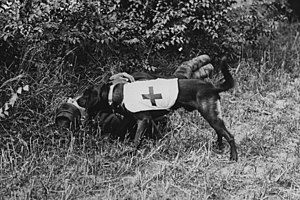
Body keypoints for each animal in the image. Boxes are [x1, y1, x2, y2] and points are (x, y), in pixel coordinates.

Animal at [78, 56, 239, 161]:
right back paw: (219, 147)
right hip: (213, 115)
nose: (77, 100)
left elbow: (136, 140)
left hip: (210, 115)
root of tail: (213, 87)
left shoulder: (143, 120)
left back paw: (233, 157)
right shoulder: (143, 120)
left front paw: (131, 154)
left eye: (86, 95)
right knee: (219, 132)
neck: (115, 93)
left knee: (229, 136)